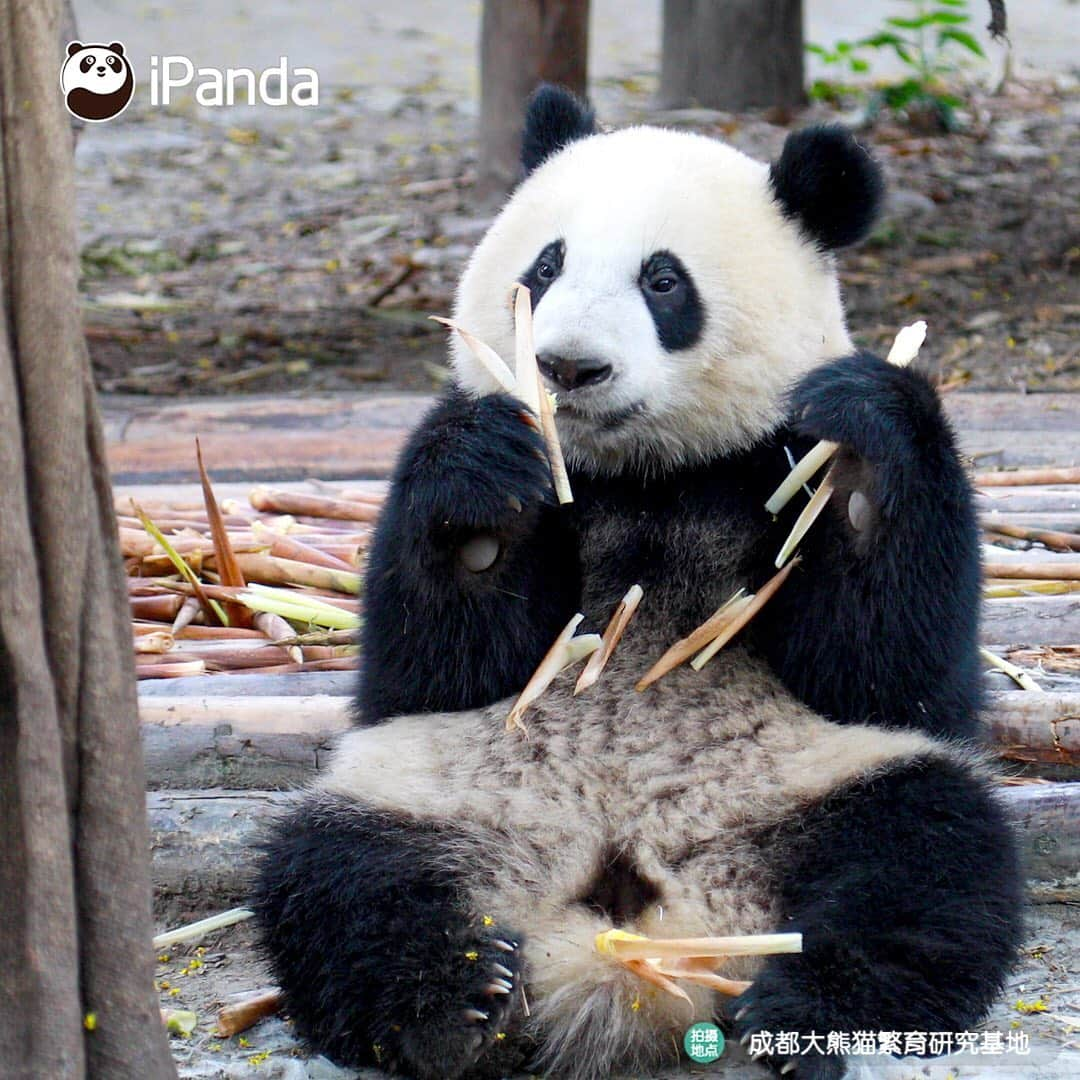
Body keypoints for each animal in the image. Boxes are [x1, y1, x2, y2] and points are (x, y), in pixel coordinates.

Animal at [252, 86, 1019, 1080]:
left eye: (664, 283)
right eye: (545, 266)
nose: (569, 367)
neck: (642, 474)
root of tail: (629, 922)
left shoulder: (760, 467)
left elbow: (886, 667)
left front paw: (861, 455)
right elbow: (438, 664)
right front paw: (483, 497)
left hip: (812, 778)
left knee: (928, 857)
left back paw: (800, 1009)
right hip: (427, 793)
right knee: (336, 880)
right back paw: (457, 1000)